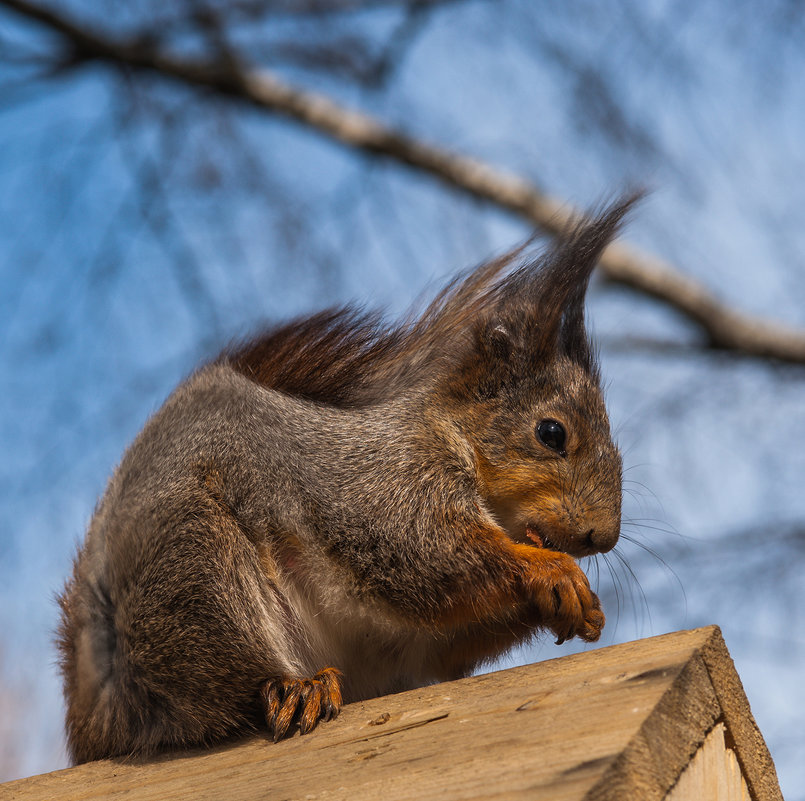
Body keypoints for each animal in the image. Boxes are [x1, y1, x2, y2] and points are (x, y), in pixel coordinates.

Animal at [55, 194, 636, 764]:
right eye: (552, 432)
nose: (601, 537)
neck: (447, 432)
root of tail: (96, 718)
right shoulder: (382, 486)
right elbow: (430, 554)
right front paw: (550, 569)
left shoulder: (410, 641)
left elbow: (443, 637)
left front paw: (580, 607)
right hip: (196, 571)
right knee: (222, 686)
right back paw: (295, 688)